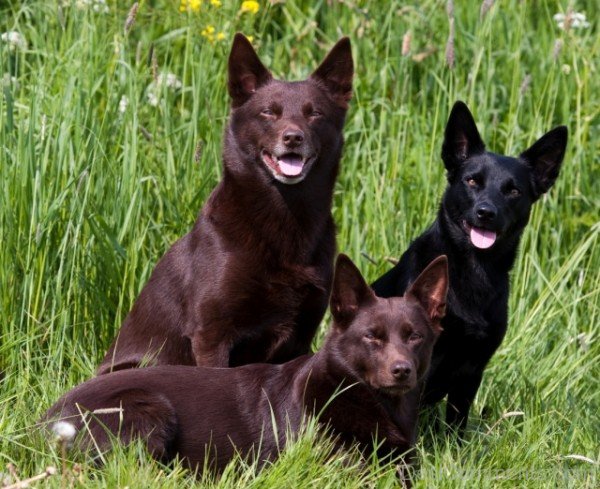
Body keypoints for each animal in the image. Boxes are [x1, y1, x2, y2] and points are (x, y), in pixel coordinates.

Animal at [370, 100, 568, 430]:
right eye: (473, 180)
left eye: (513, 190)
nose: (486, 212)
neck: (474, 270)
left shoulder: (473, 369)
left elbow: (456, 424)